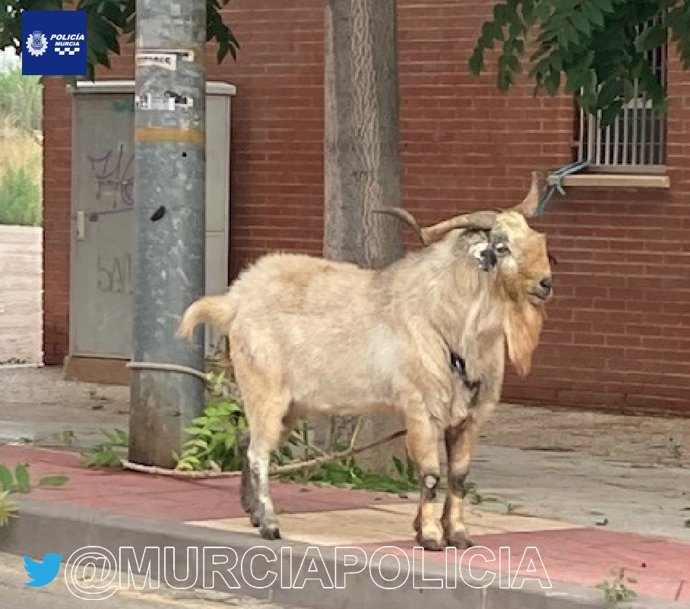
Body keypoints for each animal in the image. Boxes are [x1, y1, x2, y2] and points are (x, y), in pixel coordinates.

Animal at [179, 173, 552, 548]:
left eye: (537, 238)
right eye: (502, 247)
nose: (545, 283)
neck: (447, 318)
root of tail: (235, 300)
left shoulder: (470, 417)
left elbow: (459, 477)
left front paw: (457, 535)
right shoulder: (422, 408)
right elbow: (431, 475)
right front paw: (431, 537)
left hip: (290, 404)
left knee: (247, 442)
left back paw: (253, 512)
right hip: (264, 389)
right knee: (259, 453)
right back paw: (270, 524)